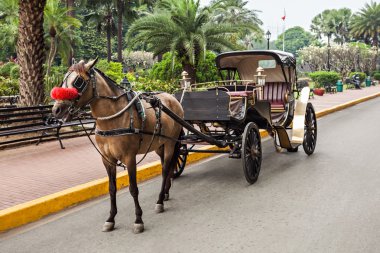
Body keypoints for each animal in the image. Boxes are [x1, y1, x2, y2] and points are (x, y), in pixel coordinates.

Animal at [50, 59, 184, 233]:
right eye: (63, 81)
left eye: (78, 82)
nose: (56, 110)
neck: (113, 117)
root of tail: (172, 99)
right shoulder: (107, 159)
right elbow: (112, 189)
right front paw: (111, 219)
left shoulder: (129, 157)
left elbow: (133, 188)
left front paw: (138, 220)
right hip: (159, 144)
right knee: (166, 167)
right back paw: (166, 192)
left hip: (170, 143)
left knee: (166, 169)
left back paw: (160, 200)